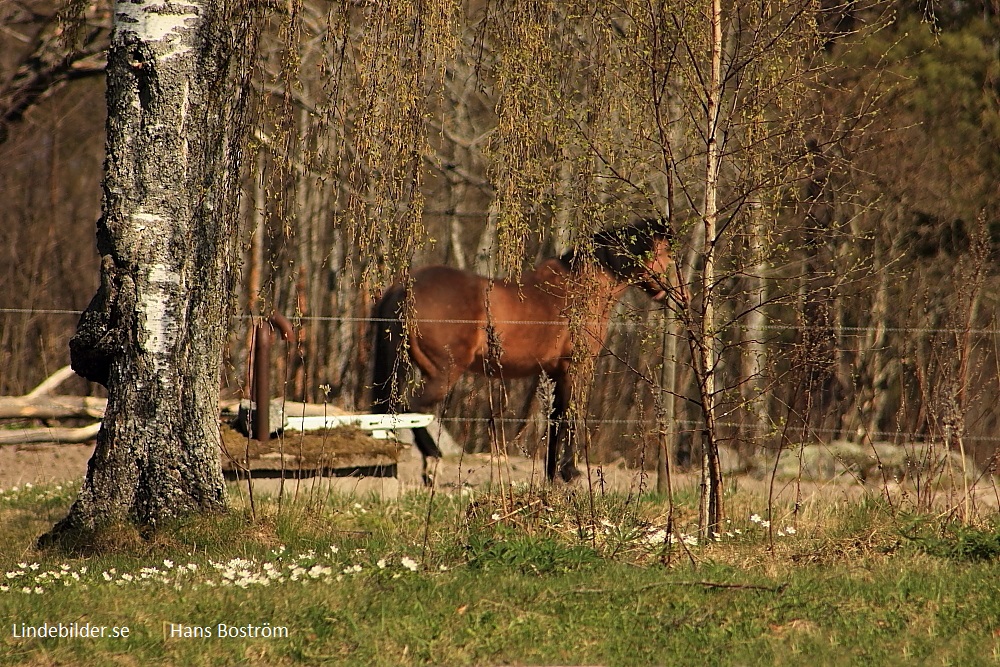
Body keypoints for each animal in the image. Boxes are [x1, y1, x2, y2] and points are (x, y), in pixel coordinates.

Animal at [374, 219, 672, 480]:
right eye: (665, 253)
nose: (667, 292)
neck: (579, 289)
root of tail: (405, 287)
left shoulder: (555, 372)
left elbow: (555, 419)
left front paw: (553, 473)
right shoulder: (575, 368)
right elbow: (570, 416)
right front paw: (569, 471)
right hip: (443, 372)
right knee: (409, 408)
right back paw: (432, 458)